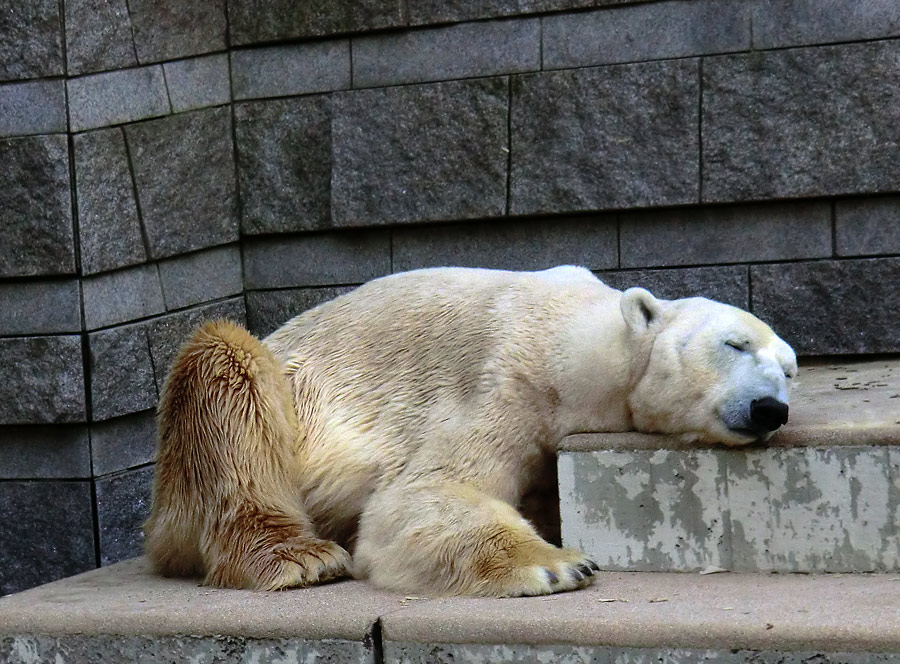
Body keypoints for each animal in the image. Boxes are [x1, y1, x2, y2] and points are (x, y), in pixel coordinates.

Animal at [144, 268, 800, 600]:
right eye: (734, 344)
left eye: (790, 370)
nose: (770, 408)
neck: (582, 341)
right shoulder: (502, 384)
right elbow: (423, 496)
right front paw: (559, 565)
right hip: (266, 402)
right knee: (227, 368)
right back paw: (299, 559)